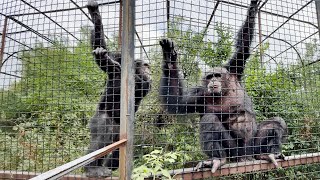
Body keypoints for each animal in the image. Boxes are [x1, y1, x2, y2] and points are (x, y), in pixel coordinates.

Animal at [84, 0, 151, 177]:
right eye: (145, 65)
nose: (149, 69)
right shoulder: (119, 59)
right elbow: (104, 54)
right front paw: (96, 16)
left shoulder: (147, 84)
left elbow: (142, 85)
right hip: (99, 119)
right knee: (102, 136)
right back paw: (92, 168)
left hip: (119, 131)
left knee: (112, 146)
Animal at [160, 0, 288, 173]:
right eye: (209, 77)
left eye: (217, 75)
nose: (213, 81)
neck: (223, 91)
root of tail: (245, 157)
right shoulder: (198, 96)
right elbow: (177, 101)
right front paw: (169, 60)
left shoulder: (234, 68)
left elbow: (243, 46)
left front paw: (253, 7)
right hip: (234, 151)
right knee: (209, 121)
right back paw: (218, 159)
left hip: (253, 146)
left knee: (276, 122)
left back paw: (268, 153)